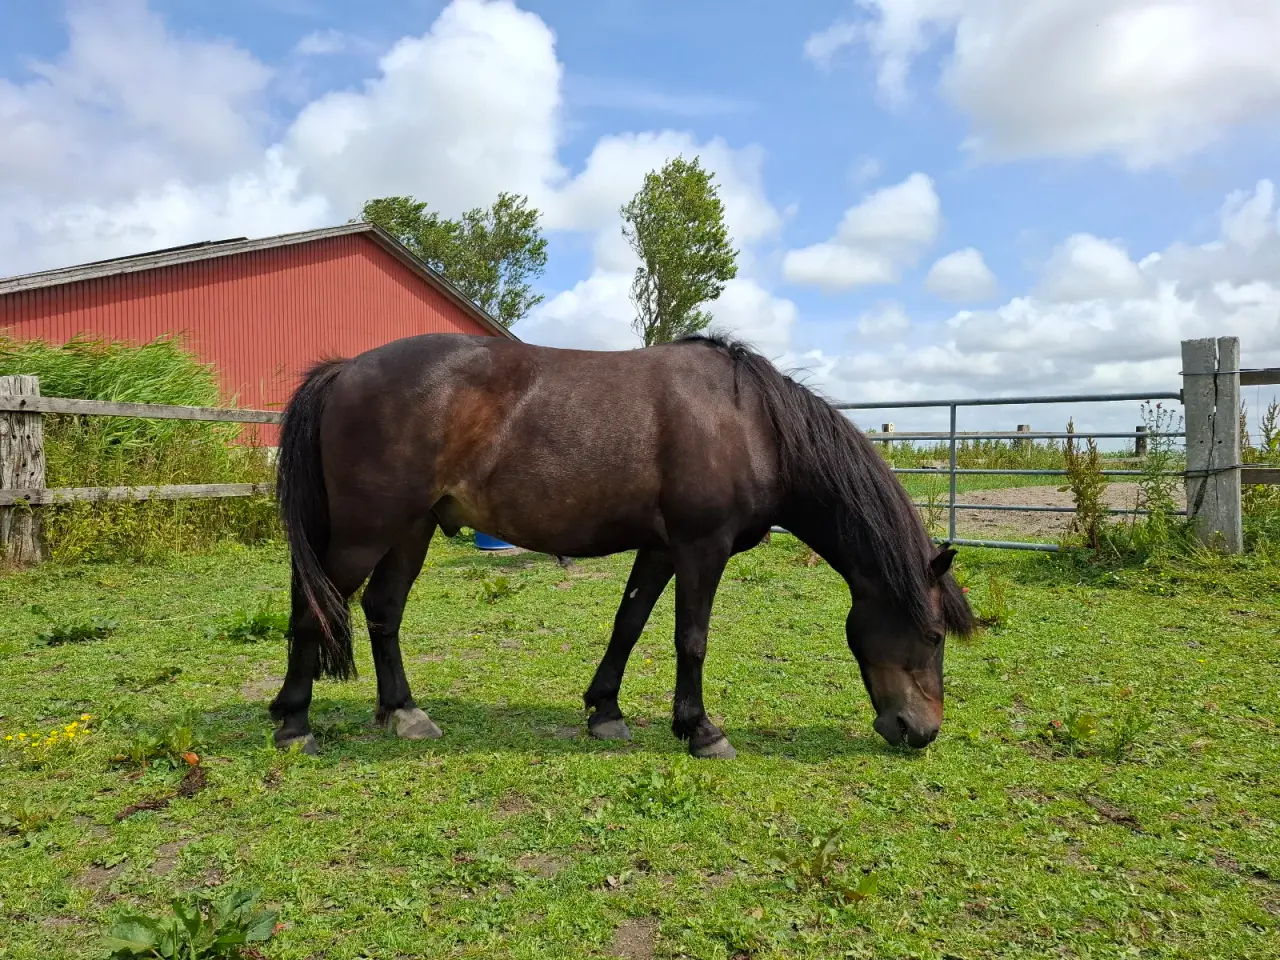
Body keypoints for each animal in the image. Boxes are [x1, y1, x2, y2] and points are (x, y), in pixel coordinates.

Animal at [270, 332, 974, 758]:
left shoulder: (660, 549)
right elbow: (691, 638)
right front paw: (700, 729)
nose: (922, 731)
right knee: (312, 610)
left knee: (383, 611)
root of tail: (346, 369)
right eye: (934, 635)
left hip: (410, 529)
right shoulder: (701, 548)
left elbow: (628, 625)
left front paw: (604, 712)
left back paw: (403, 713)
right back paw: (295, 723)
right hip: (364, 533)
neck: (751, 424)